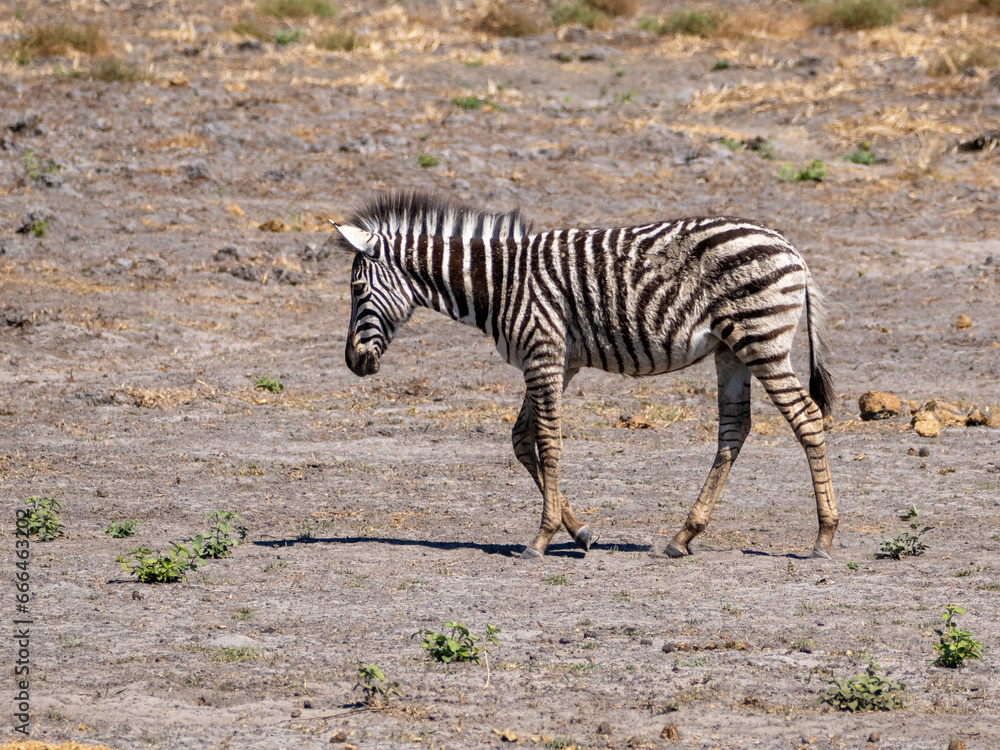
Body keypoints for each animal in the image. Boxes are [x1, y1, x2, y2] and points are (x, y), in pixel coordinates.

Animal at [334, 191, 838, 560]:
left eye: (357, 289)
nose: (353, 363)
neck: (499, 284)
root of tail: (791, 249)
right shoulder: (558, 361)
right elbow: (522, 440)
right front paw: (579, 532)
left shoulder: (543, 353)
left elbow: (549, 441)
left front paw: (541, 538)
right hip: (731, 350)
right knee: (734, 429)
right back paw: (682, 537)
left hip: (761, 339)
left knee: (807, 420)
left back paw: (823, 537)